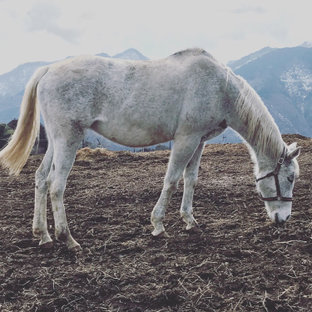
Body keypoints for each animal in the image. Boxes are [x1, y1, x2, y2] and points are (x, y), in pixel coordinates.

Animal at [0, 48, 302, 250]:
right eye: (290, 177)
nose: (283, 218)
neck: (221, 88)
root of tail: (49, 69)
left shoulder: (199, 141)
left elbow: (191, 179)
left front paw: (190, 220)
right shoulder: (185, 139)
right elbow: (172, 180)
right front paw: (158, 225)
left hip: (56, 140)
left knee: (41, 179)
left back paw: (43, 235)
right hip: (68, 139)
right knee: (56, 185)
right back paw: (68, 238)